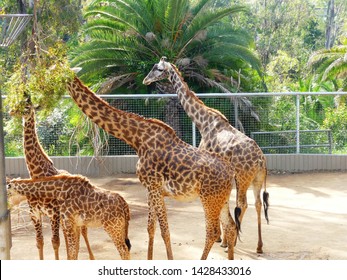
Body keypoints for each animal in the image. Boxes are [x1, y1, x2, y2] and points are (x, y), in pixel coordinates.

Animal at [9, 101, 94, 260]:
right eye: (17, 102)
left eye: (27, 106)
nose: (11, 111)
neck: (37, 174)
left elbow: (55, 242)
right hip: (65, 217)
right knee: (68, 236)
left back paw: (90, 257)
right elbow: (40, 242)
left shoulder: (53, 213)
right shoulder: (35, 214)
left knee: (83, 231)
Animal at [66, 75, 238, 260]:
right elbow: (151, 228)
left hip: (209, 198)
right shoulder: (151, 189)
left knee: (213, 231)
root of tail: (230, 172)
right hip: (222, 198)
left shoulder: (154, 187)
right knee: (230, 226)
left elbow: (165, 231)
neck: (137, 139)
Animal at [143, 57, 270, 254]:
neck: (203, 122)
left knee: (243, 204)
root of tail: (261, 160)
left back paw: (233, 243)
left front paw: (222, 240)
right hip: (256, 179)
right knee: (257, 204)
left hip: (243, 178)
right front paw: (223, 238)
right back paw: (259, 246)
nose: (145, 80)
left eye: (158, 69)